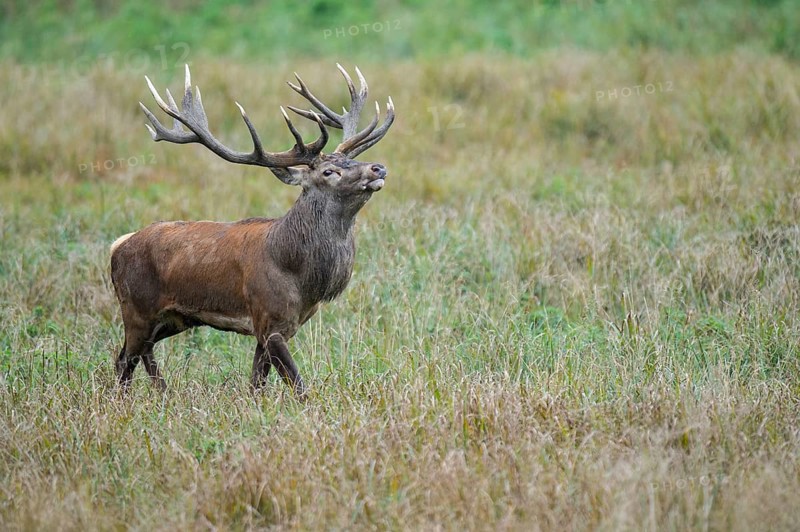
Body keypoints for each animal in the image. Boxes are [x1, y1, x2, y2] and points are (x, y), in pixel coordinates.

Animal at [110, 64, 395, 399]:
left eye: (351, 159)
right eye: (329, 171)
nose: (378, 168)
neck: (300, 274)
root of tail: (118, 246)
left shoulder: (278, 325)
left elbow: (256, 383)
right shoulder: (269, 318)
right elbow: (297, 384)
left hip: (173, 319)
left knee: (140, 353)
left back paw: (163, 393)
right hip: (136, 308)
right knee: (125, 359)